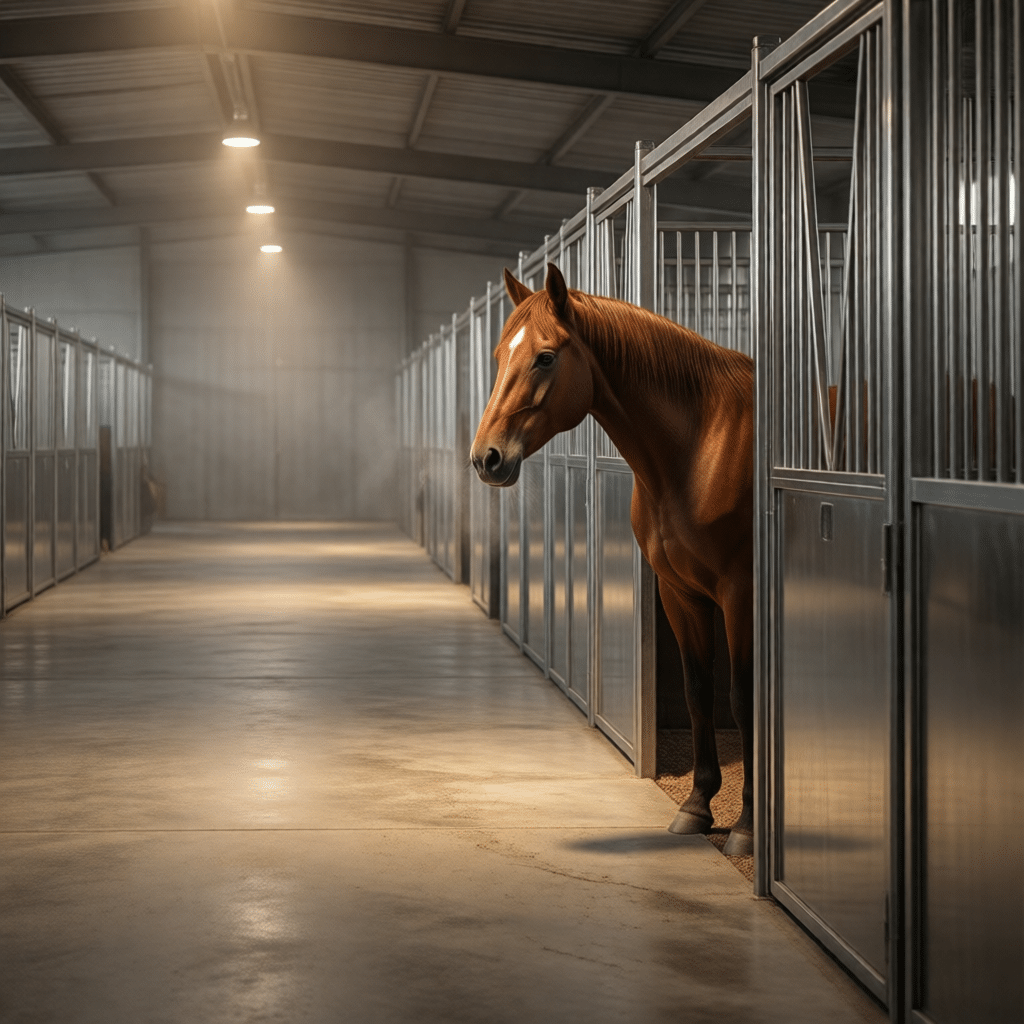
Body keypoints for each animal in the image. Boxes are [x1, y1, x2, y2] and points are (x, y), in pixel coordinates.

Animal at [471, 262, 755, 858]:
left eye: (546, 357)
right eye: (499, 355)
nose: (486, 458)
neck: (702, 446)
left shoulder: (741, 591)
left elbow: (741, 699)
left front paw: (746, 826)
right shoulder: (678, 591)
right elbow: (698, 692)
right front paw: (696, 806)